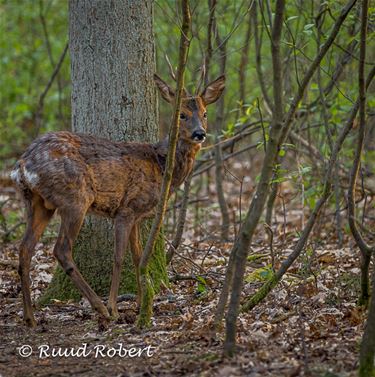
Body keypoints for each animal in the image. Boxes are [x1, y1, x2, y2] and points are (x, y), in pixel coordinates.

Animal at [11, 73, 226, 326]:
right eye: (181, 115)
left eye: (205, 113)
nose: (200, 133)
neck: (161, 165)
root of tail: (22, 166)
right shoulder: (127, 208)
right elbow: (119, 257)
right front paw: (115, 307)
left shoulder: (137, 216)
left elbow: (138, 257)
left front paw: (142, 304)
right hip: (75, 198)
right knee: (61, 249)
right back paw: (100, 308)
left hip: (38, 203)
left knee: (25, 249)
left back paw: (30, 318)